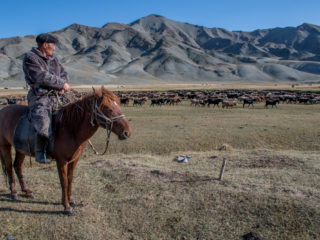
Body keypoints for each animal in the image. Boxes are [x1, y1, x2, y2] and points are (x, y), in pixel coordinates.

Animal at [0, 85, 131, 215]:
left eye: (119, 104)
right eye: (107, 108)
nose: (127, 133)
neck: (70, 128)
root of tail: (3, 111)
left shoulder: (74, 159)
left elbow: (70, 179)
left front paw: (71, 200)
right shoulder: (61, 161)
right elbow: (64, 182)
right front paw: (66, 207)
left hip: (21, 149)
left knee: (17, 166)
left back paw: (27, 191)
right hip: (5, 146)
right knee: (9, 167)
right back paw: (14, 193)